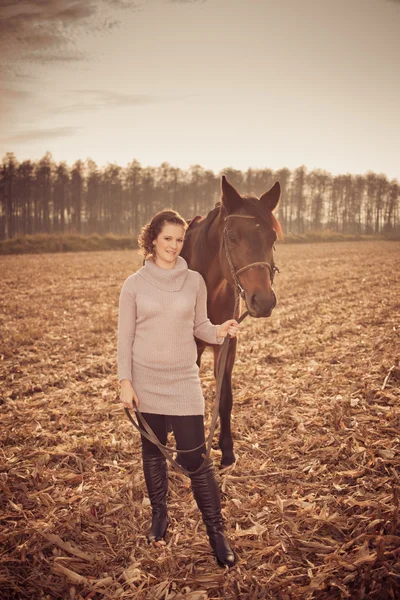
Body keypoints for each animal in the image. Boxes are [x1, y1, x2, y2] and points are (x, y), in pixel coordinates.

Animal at [181, 176, 282, 466]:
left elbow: (225, 396)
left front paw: (227, 450)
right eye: (232, 237)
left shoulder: (228, 345)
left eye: (272, 238)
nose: (264, 301)